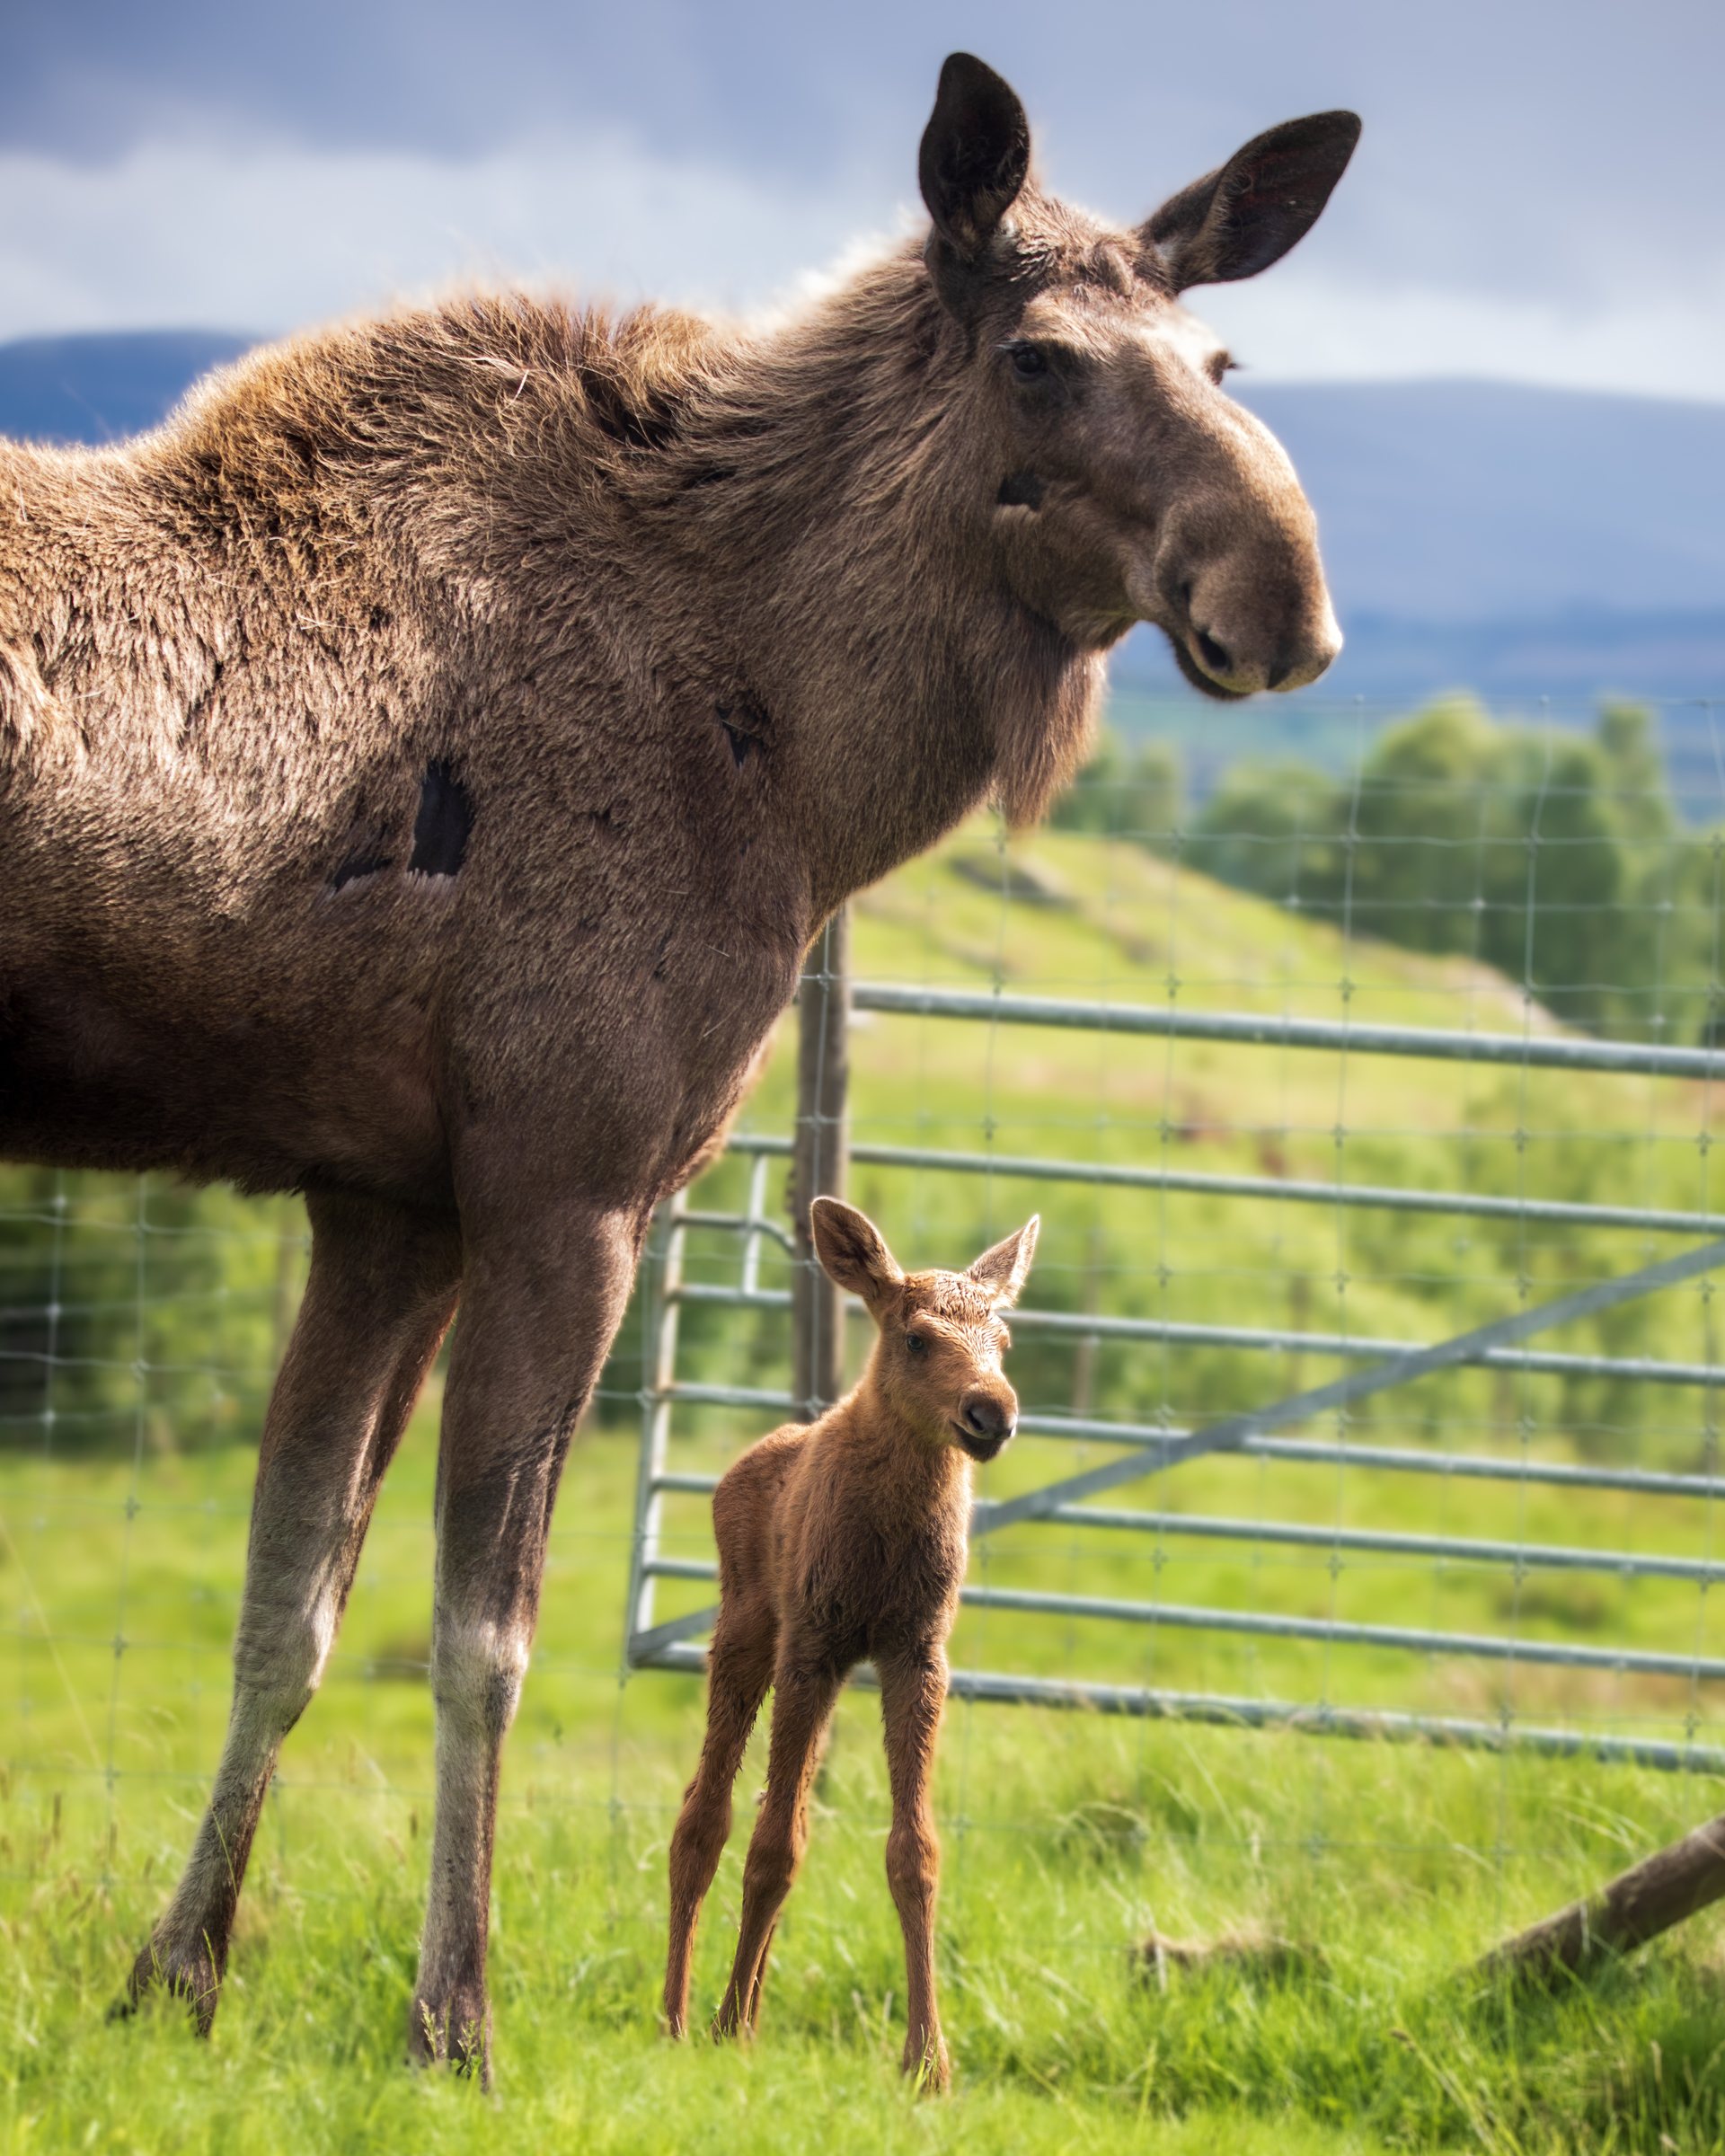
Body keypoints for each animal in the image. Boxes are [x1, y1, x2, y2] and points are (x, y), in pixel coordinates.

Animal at [659, 1198, 1039, 2087]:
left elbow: (912, 1852)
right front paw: (725, 2027)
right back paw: (678, 2018)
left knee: (783, 1812)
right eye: (916, 1337)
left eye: (1004, 1341)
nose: (992, 1413)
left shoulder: (915, 1654)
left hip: (826, 1672)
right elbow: (767, 1849)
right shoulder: (813, 1642)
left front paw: (928, 2061)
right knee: (704, 1816)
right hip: (749, 1632)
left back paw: (743, 2011)